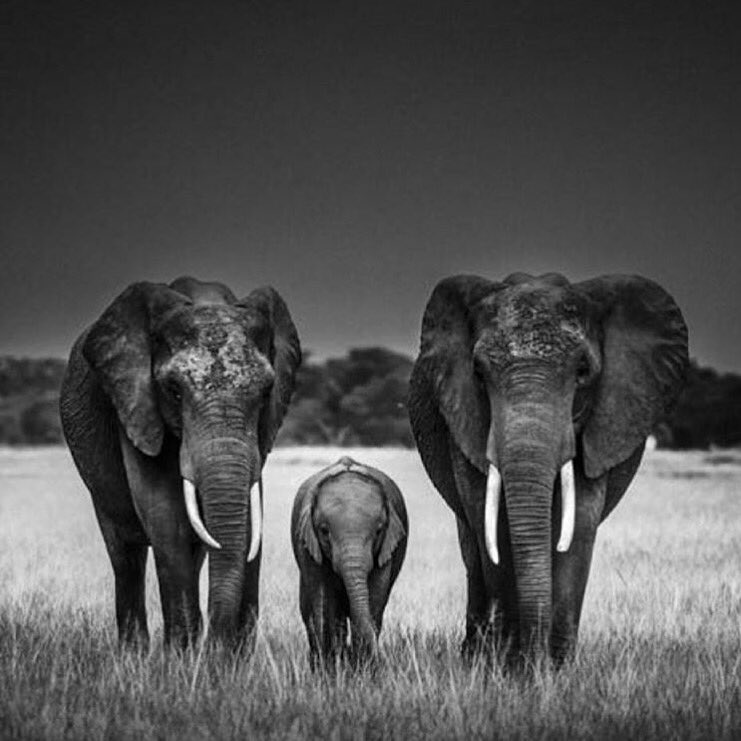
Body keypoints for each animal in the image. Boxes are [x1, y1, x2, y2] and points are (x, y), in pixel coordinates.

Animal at [59, 276, 301, 650]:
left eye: (266, 392)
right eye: (173, 391)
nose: (219, 648)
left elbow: (247, 521)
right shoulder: (135, 407)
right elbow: (165, 516)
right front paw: (182, 657)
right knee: (125, 555)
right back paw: (134, 653)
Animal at [291, 456, 408, 666]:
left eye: (379, 531)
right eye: (324, 531)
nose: (380, 658)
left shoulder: (386, 548)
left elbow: (376, 595)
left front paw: (362, 668)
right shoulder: (307, 545)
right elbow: (323, 599)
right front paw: (330, 668)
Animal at [408, 272, 688, 664]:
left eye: (583, 372)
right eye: (478, 373)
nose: (533, 658)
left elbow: (580, 522)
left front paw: (554, 668)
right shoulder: (462, 418)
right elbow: (489, 520)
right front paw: (509, 663)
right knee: (472, 544)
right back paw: (474, 654)